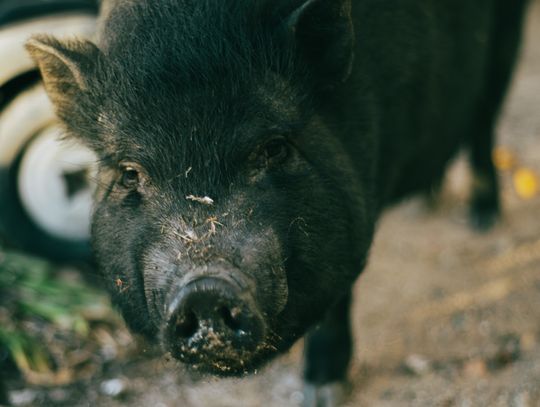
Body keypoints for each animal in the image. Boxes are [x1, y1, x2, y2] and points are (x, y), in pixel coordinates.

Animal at [25, 0, 528, 404]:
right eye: (130, 172)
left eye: (273, 148)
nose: (205, 289)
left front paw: (322, 393)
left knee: (483, 120)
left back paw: (483, 218)